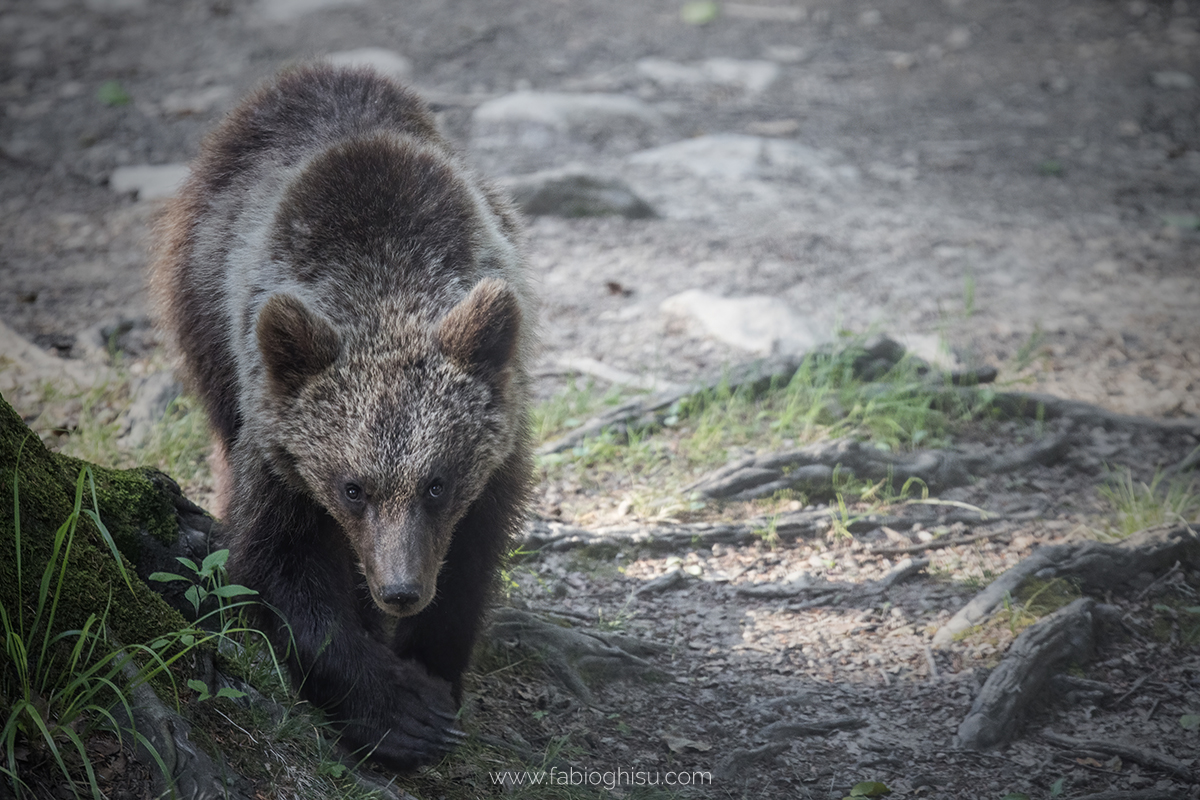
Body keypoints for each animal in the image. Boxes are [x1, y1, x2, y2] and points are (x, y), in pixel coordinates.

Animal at [153, 64, 535, 767]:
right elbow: (278, 565)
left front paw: (434, 670)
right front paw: (400, 710)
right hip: (199, 308)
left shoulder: (498, 450)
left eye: (437, 483)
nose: (400, 589)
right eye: (352, 487)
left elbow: (473, 557)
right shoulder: (277, 440)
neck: (383, 275)